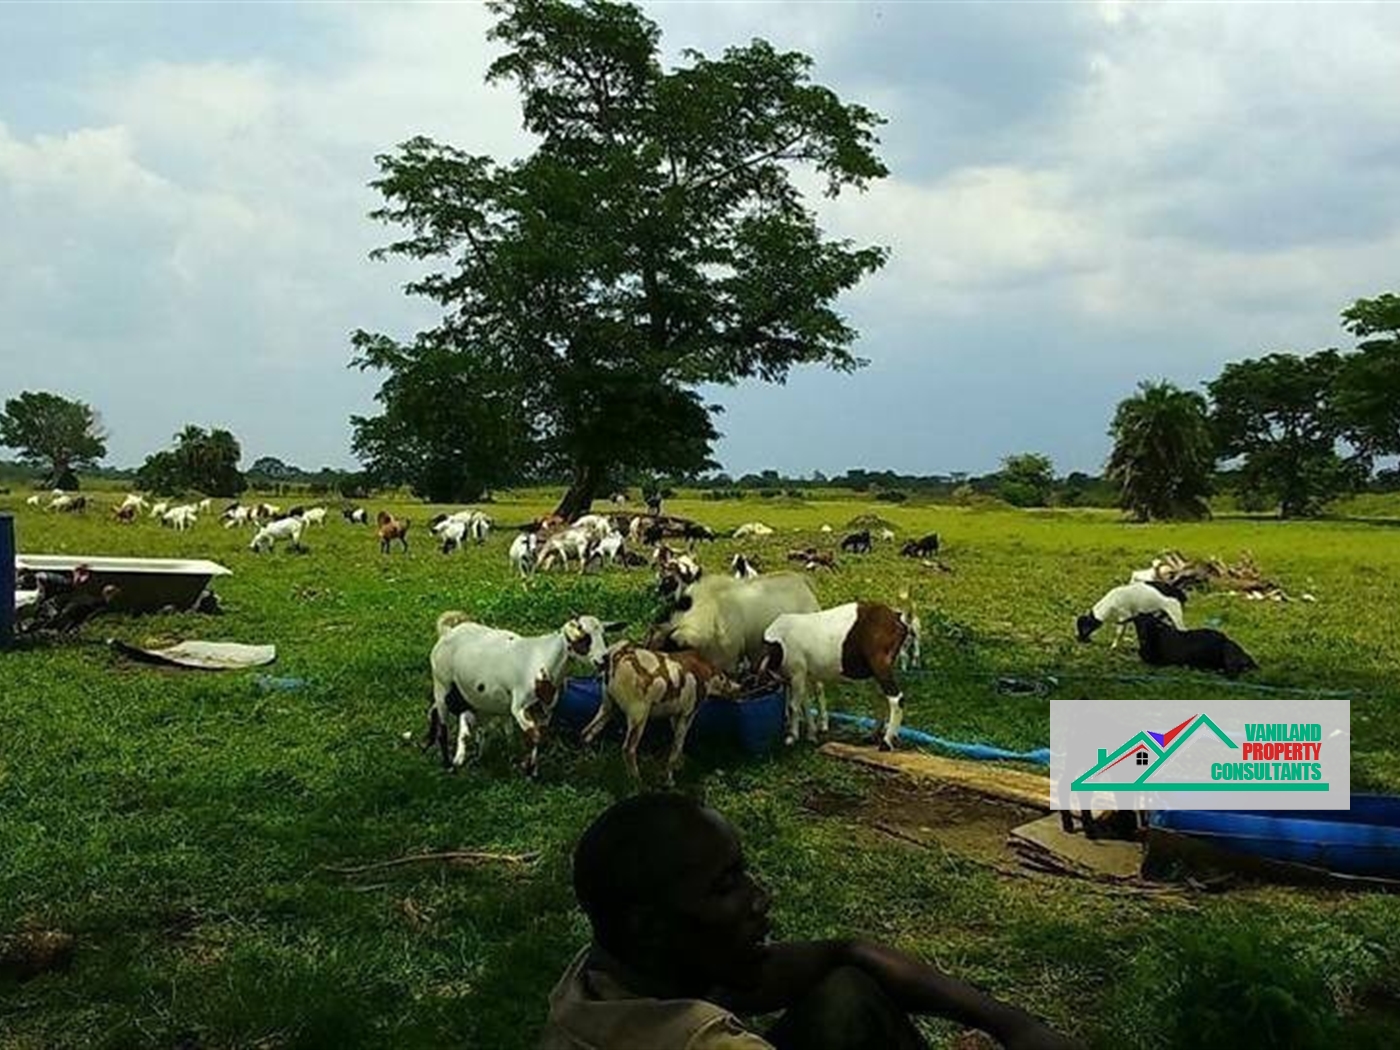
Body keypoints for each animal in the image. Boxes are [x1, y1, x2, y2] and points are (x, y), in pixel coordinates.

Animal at [582, 646, 744, 784]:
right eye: (726, 678)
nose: (740, 688)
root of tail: (614, 660)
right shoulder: (688, 713)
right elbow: (677, 745)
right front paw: (669, 779)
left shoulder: (675, 714)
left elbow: (678, 743)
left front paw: (678, 766)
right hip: (638, 714)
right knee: (628, 749)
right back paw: (636, 781)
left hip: (608, 707)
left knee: (587, 732)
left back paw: (588, 759)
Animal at [761, 599, 912, 750]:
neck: (779, 642)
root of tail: (896, 617)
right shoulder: (804, 675)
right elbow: (805, 704)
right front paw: (811, 735)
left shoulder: (797, 672)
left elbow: (793, 706)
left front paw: (792, 737)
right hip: (875, 670)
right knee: (880, 696)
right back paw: (872, 736)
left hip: (880, 663)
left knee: (896, 698)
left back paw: (886, 742)